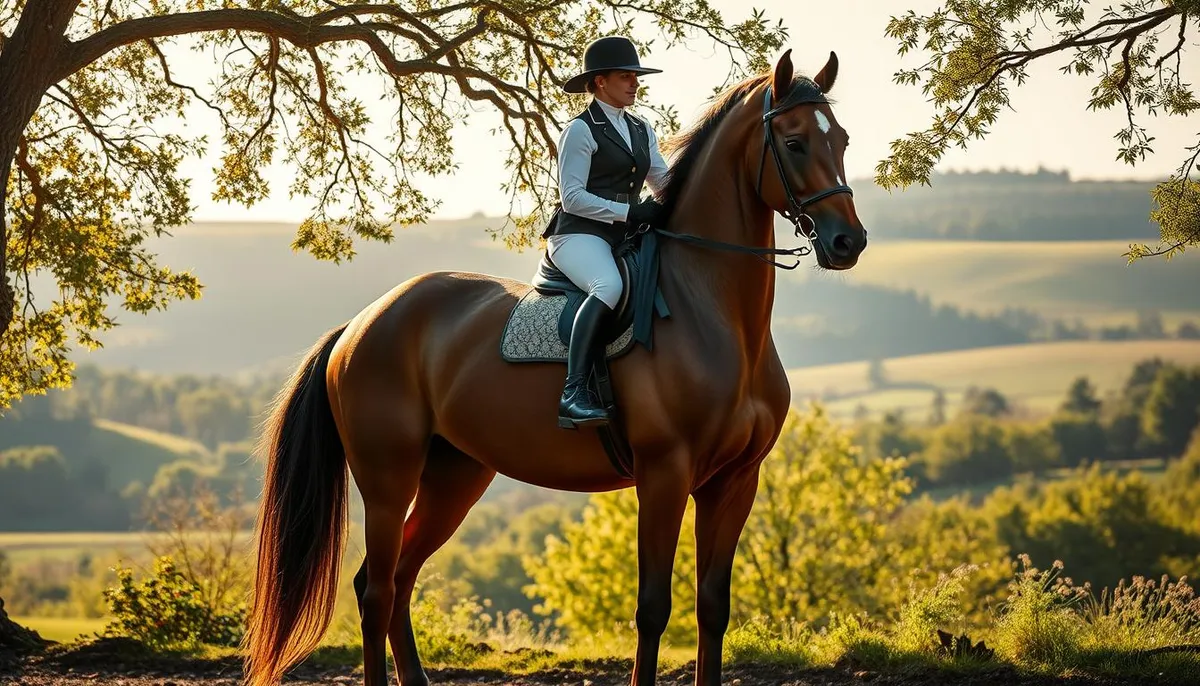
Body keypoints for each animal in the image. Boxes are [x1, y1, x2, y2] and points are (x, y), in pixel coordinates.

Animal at [242, 47, 867, 686]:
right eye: (794, 143)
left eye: (841, 138)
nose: (849, 242)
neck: (718, 315)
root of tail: (361, 323)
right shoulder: (664, 475)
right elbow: (653, 608)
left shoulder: (736, 481)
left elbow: (712, 607)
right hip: (387, 478)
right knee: (375, 590)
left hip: (454, 477)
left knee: (396, 579)